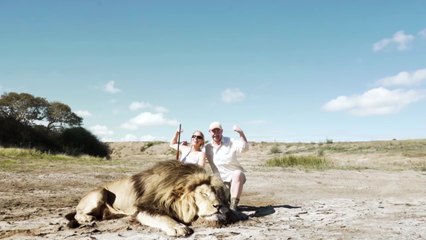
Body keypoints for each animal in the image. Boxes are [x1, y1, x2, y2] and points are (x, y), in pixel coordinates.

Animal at [65, 159, 230, 236]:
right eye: (203, 194)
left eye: (216, 194)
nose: (219, 206)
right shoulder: (144, 208)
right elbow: (163, 217)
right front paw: (178, 227)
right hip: (100, 192)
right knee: (78, 213)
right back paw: (87, 218)